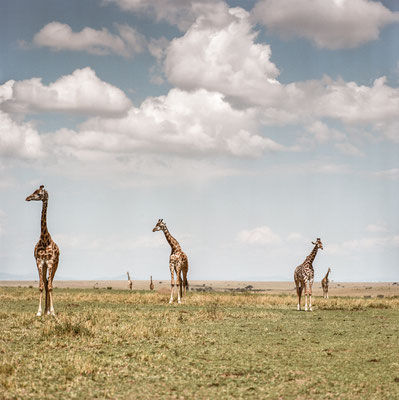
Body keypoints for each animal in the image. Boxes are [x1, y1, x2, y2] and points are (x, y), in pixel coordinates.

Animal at [25, 184, 59, 316]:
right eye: (34, 192)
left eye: (39, 194)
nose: (28, 198)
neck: (45, 240)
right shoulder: (39, 261)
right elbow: (41, 285)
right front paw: (39, 312)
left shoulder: (50, 262)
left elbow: (50, 286)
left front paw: (53, 312)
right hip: (45, 266)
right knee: (45, 282)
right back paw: (46, 311)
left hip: (55, 265)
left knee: (50, 282)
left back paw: (49, 311)